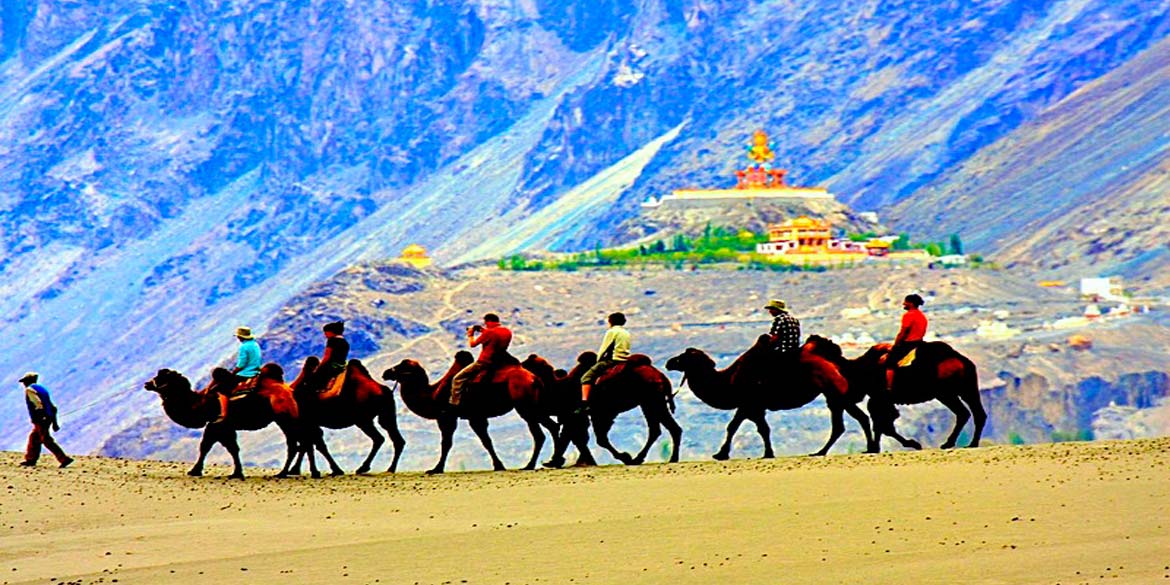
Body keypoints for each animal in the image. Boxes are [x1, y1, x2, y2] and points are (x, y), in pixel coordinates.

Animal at [145, 365, 334, 479]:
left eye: (162, 377)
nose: (147, 383)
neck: (200, 403)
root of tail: (293, 391)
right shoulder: (225, 426)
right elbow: (232, 448)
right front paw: (236, 472)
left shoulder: (217, 424)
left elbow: (206, 446)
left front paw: (194, 471)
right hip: (291, 419)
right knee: (305, 441)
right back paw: (307, 472)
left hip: (285, 419)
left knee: (298, 443)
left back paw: (285, 473)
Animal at [381, 348, 559, 472]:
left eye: (402, 365)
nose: (386, 372)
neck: (432, 394)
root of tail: (534, 378)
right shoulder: (476, 416)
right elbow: (486, 441)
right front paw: (499, 465)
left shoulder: (447, 417)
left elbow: (446, 443)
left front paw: (436, 469)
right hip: (536, 406)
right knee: (552, 426)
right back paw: (554, 461)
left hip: (525, 407)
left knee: (539, 434)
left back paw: (530, 465)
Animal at [664, 336, 875, 458]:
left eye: (683, 357)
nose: (668, 362)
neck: (729, 381)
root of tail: (840, 362)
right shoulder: (756, 408)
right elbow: (763, 429)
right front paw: (768, 453)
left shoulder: (748, 404)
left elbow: (733, 426)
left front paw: (721, 454)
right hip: (834, 395)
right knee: (845, 423)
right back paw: (824, 451)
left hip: (836, 392)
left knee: (855, 419)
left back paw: (867, 448)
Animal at [800, 336, 982, 449]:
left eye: (810, 346)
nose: (798, 351)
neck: (858, 371)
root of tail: (962, 360)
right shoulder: (880, 399)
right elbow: (882, 425)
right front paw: (877, 447)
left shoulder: (879, 398)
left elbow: (884, 425)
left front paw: (907, 444)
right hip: (964, 389)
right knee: (972, 413)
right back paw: (964, 443)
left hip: (946, 392)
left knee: (967, 412)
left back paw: (957, 443)